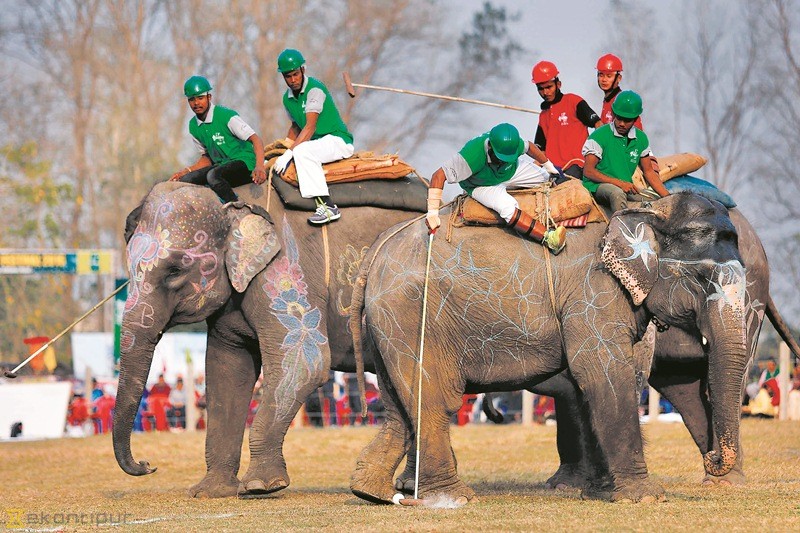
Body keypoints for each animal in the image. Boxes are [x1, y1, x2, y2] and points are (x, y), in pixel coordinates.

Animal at [112, 180, 419, 498]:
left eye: (174, 271)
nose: (148, 465)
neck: (233, 204)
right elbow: (227, 371)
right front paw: (211, 491)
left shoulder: (284, 273)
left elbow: (305, 366)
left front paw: (261, 486)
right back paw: (408, 485)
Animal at [349, 192, 750, 504]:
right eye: (702, 278)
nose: (712, 457)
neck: (648, 207)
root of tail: (378, 249)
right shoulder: (594, 292)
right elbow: (604, 372)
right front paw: (645, 496)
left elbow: (589, 383)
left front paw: (601, 494)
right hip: (414, 315)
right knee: (434, 398)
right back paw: (452, 498)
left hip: (389, 324)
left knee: (397, 404)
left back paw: (371, 492)